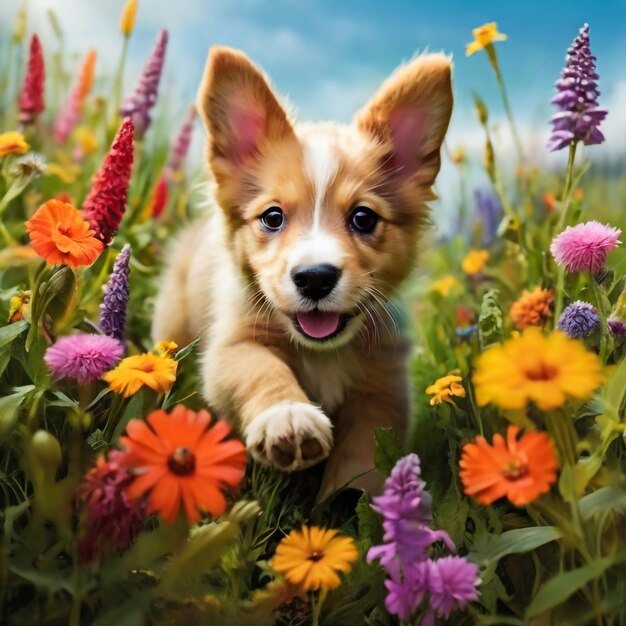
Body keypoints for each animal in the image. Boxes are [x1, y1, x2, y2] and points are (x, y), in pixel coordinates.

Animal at [152, 46, 454, 494]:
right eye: (272, 217)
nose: (315, 278)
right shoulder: (231, 346)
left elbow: (363, 460)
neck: (322, 353)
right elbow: (261, 369)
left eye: (363, 218)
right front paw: (287, 416)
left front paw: (353, 502)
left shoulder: (382, 388)